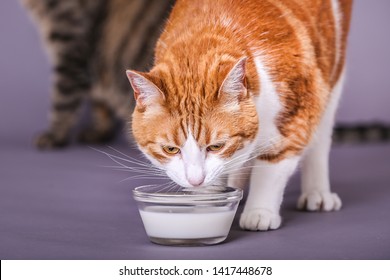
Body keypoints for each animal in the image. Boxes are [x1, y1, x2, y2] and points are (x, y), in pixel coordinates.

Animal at [125, 0, 354, 231]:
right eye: (170, 149)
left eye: (216, 146)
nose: (195, 180)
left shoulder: (295, 117)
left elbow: (270, 170)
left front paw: (259, 212)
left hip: (331, 81)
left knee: (320, 138)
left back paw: (318, 192)